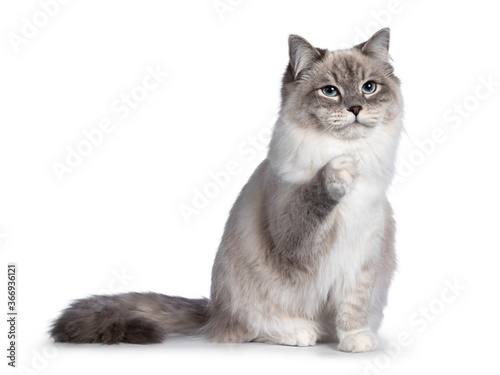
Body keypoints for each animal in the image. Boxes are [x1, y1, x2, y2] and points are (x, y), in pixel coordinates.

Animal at [49, 27, 402, 354]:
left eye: (369, 88)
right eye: (330, 91)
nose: (355, 108)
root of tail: (211, 310)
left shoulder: (363, 256)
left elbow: (353, 307)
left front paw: (356, 341)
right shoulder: (293, 234)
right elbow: (316, 194)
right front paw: (339, 169)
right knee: (251, 329)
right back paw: (298, 333)